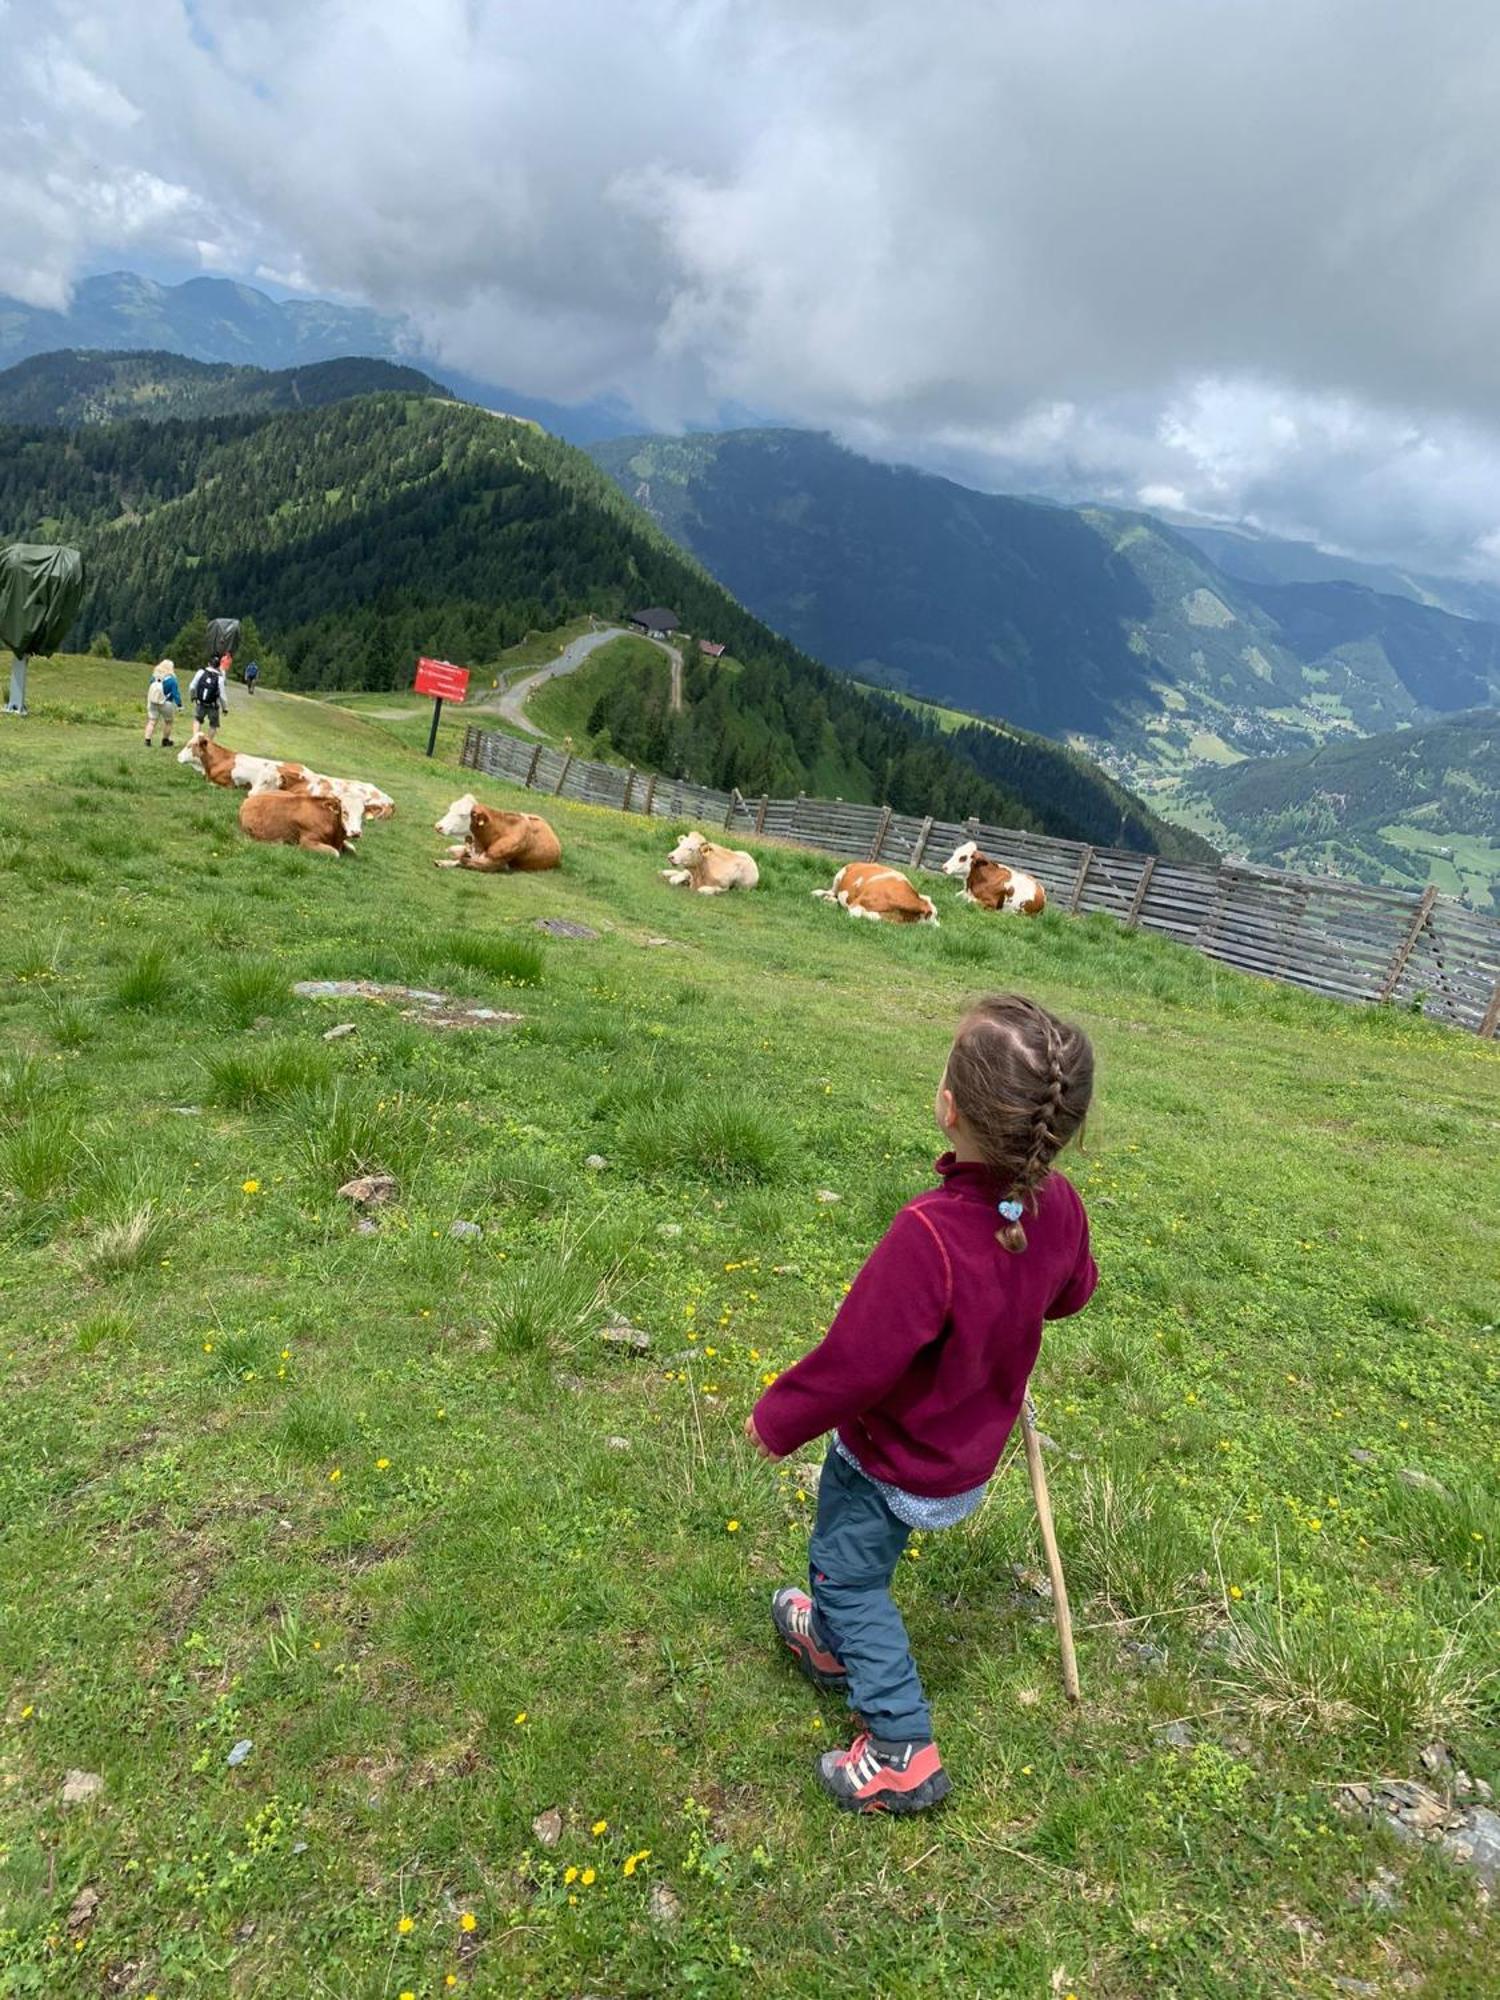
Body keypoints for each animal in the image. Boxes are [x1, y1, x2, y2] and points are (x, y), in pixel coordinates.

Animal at [434, 792, 564, 872]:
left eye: (463, 814)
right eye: (450, 809)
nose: (438, 826)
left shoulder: (494, 863)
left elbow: (463, 860)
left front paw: (444, 862)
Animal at [812, 860, 940, 920]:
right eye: (933, 916)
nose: (938, 927)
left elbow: (875, 917)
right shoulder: (856, 904)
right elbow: (856, 914)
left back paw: (830, 901)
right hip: (839, 876)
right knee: (831, 891)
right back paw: (818, 894)